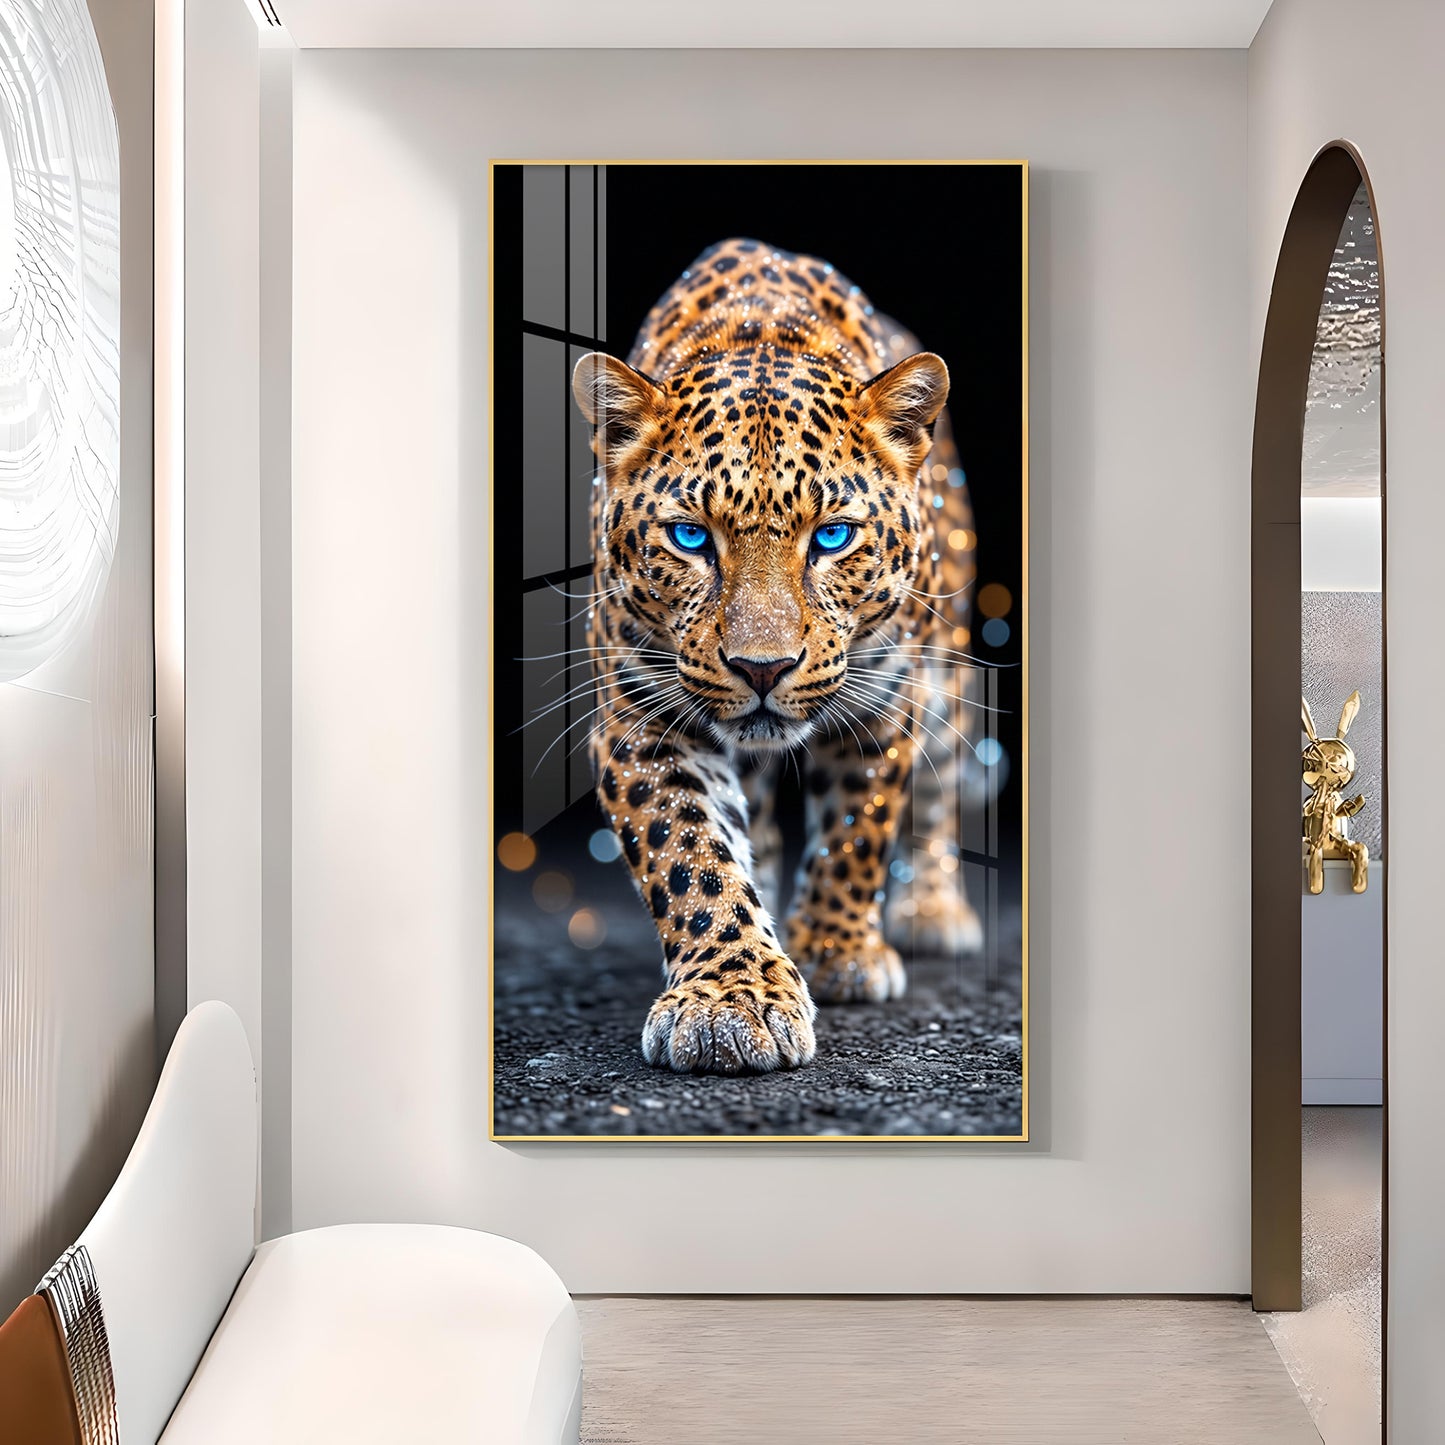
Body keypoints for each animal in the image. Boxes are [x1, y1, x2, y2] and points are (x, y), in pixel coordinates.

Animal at [571, 237, 983, 1075]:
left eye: (832, 535)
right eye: (689, 536)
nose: (762, 669)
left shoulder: (885, 697)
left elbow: (856, 827)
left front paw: (836, 949)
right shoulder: (640, 719)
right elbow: (689, 850)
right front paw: (731, 997)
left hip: (947, 677)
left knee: (937, 789)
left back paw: (931, 908)